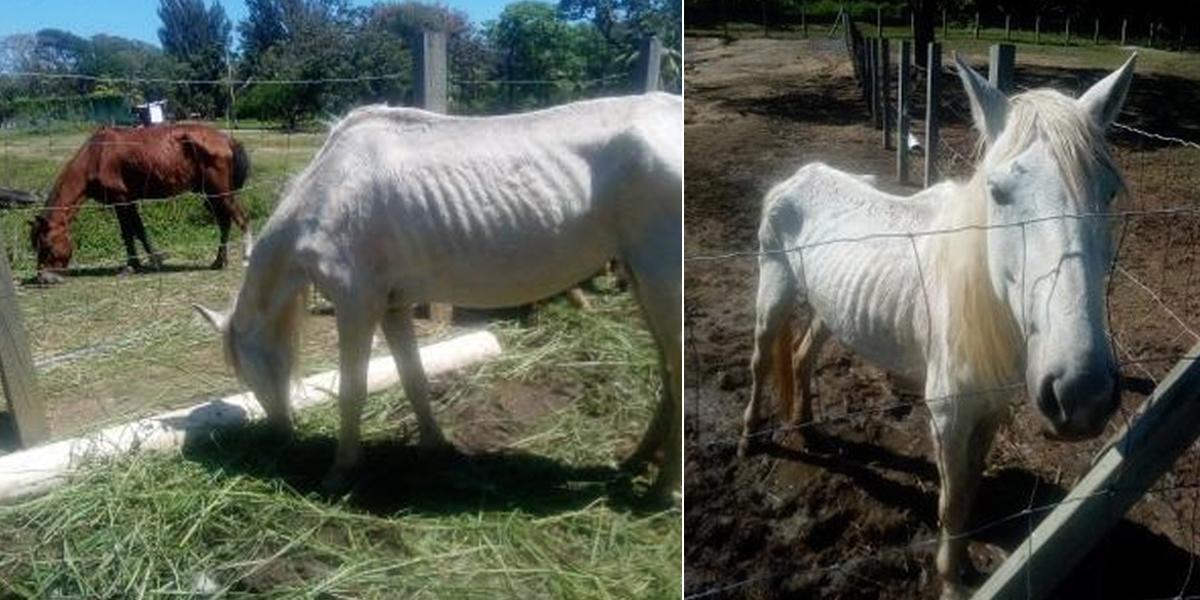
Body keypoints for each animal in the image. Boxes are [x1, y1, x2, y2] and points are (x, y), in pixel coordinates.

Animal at [29, 123, 252, 284]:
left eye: (46, 245)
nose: (43, 279)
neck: (97, 155)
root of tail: (226, 139)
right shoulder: (129, 201)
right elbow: (138, 230)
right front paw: (154, 259)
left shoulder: (121, 201)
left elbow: (129, 232)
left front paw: (132, 266)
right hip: (211, 195)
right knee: (225, 222)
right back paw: (219, 261)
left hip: (221, 193)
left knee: (241, 219)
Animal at [194, 93, 682, 500]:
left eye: (245, 370)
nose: (280, 436)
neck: (331, 191)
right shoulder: (392, 306)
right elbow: (413, 378)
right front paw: (436, 447)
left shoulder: (356, 306)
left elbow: (353, 389)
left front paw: (339, 473)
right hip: (641, 280)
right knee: (666, 373)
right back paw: (637, 461)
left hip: (661, 282)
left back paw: (665, 491)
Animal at [739, 54, 1135, 597]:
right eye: (997, 192)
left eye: (1109, 190)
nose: (1082, 394)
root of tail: (802, 175)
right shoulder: (947, 415)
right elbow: (951, 502)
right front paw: (950, 581)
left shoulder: (989, 410)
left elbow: (968, 491)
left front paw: (963, 565)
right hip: (774, 289)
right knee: (761, 361)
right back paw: (749, 437)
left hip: (828, 307)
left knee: (801, 356)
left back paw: (805, 427)